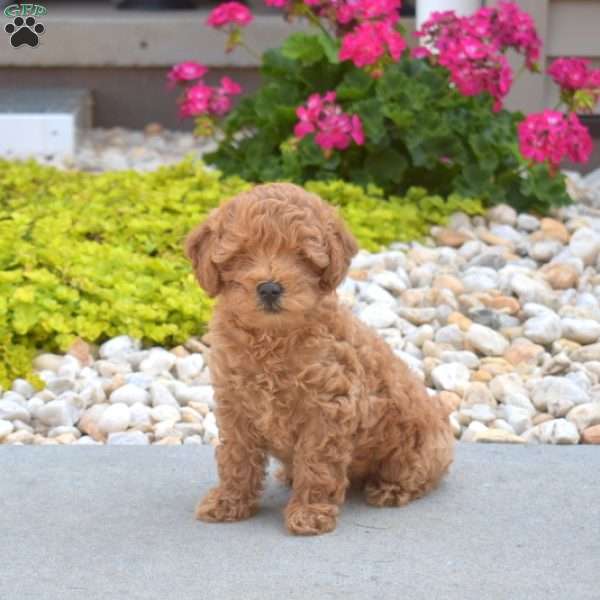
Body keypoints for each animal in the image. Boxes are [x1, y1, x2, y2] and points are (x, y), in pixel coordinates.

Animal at [185, 182, 452, 536]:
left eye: (301, 256)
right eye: (242, 254)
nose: (269, 288)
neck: (272, 338)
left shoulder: (328, 409)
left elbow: (316, 465)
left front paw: (309, 513)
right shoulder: (235, 404)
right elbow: (236, 457)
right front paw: (229, 501)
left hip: (417, 449)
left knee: (417, 475)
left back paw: (389, 490)